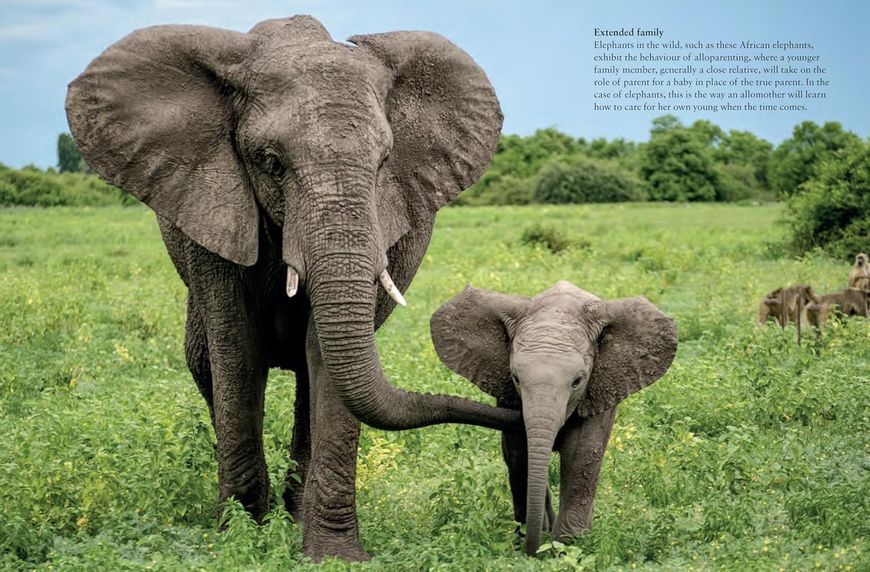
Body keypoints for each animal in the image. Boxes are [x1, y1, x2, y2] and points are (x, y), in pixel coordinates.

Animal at [65, 15, 522, 562]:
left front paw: (333, 557)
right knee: (205, 364)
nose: (518, 408)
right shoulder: (213, 209)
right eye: (270, 161)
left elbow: (325, 357)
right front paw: (240, 540)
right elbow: (236, 352)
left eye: (384, 161)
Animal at [430, 281, 677, 555]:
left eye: (577, 381)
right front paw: (532, 538)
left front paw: (566, 546)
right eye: (516, 378)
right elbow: (519, 453)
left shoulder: (600, 388)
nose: (532, 551)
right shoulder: (507, 393)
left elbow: (582, 453)